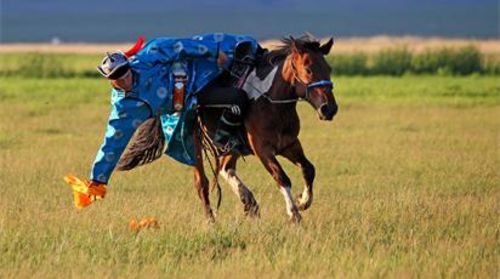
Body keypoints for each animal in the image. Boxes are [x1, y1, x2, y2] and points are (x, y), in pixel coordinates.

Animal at [193, 36, 338, 223]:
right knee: (201, 183)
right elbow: (281, 177)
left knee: (225, 168)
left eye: (329, 68)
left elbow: (309, 169)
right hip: (194, 143)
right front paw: (293, 213)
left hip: (231, 147)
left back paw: (249, 202)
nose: (329, 109)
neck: (270, 101)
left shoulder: (290, 145)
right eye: (308, 69)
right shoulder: (263, 150)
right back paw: (211, 220)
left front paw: (302, 201)